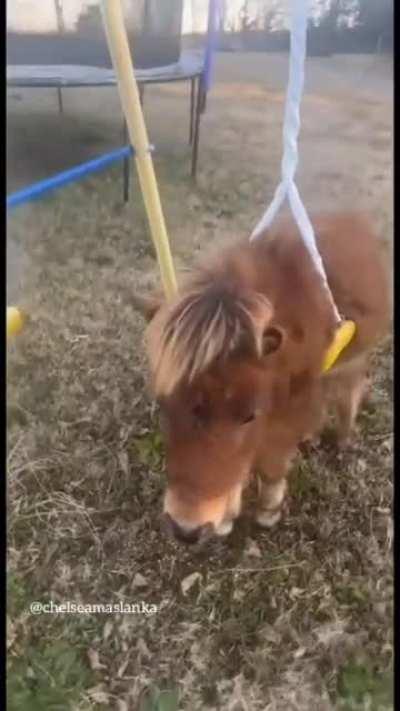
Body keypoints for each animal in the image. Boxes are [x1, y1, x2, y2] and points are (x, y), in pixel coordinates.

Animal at [132, 213, 390, 544]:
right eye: (164, 404)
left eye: (248, 416)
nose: (186, 529)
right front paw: (227, 517)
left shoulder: (290, 407)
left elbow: (271, 460)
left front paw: (268, 510)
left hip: (353, 360)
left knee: (350, 392)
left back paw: (344, 439)